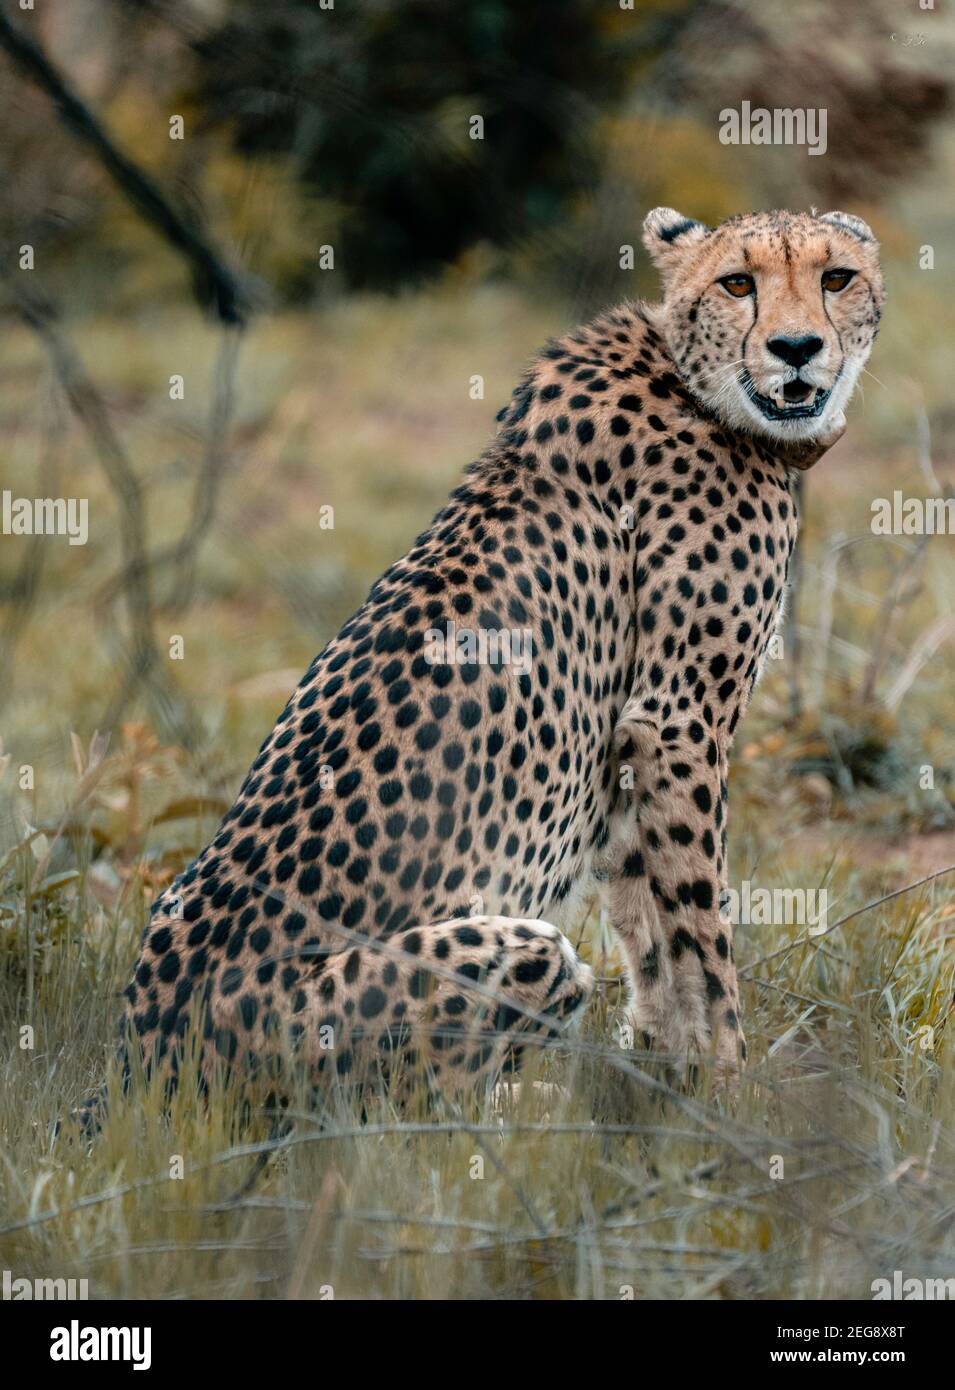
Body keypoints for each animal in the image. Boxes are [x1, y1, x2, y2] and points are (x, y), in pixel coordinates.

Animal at [77, 206, 884, 1129]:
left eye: (835, 277)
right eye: (737, 282)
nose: (796, 348)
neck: (698, 384)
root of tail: (137, 1063)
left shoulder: (627, 746)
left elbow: (646, 919)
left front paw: (663, 1079)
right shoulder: (676, 720)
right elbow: (698, 926)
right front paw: (729, 1089)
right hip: (507, 953)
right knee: (392, 1118)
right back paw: (536, 1110)